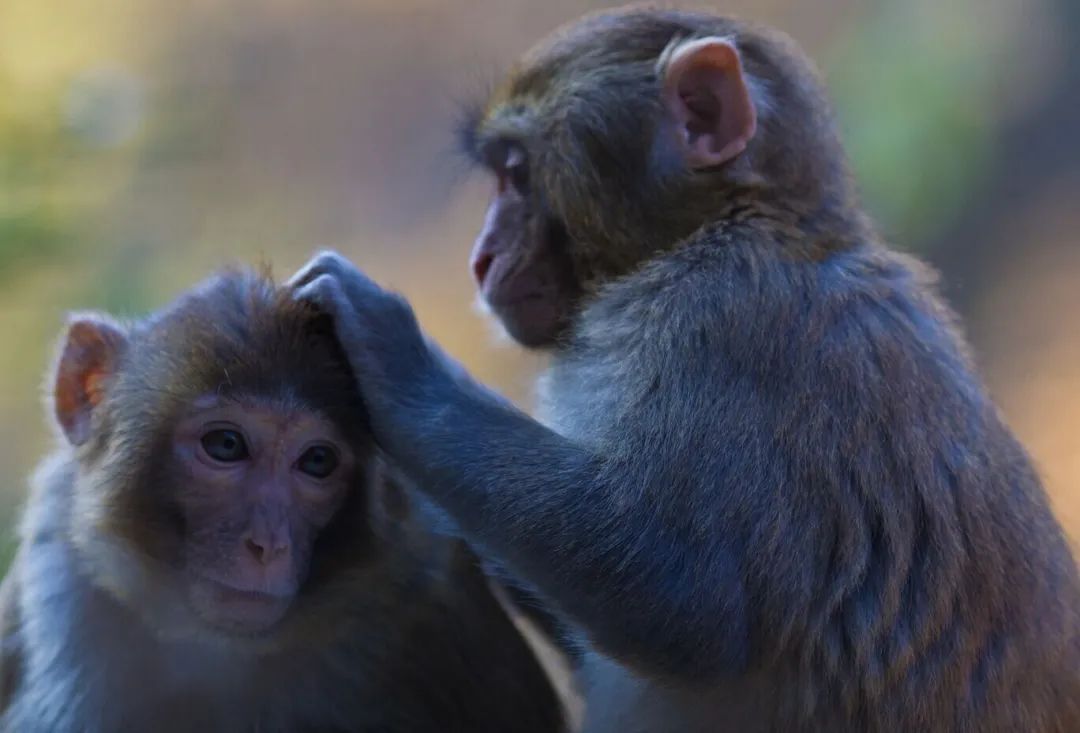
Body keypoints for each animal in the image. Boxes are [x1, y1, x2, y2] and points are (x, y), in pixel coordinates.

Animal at [291, 5, 1080, 733]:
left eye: (515, 173)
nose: (481, 258)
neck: (741, 222)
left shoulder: (726, 329)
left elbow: (681, 599)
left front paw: (399, 361)